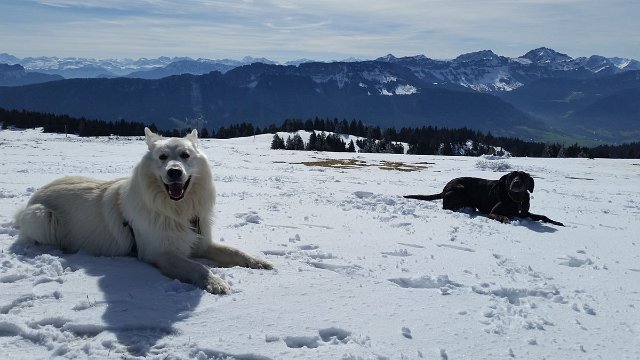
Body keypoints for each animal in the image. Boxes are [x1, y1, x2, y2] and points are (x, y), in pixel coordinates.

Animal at [15, 128, 270, 294]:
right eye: (163, 157)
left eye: (185, 155)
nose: (174, 172)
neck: (176, 210)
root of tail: (32, 199)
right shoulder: (159, 253)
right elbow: (197, 266)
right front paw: (216, 282)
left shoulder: (200, 242)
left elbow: (235, 252)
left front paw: (259, 263)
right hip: (43, 217)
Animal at [404, 171, 564, 226]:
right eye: (511, 176)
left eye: (523, 177)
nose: (516, 183)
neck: (515, 199)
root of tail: (444, 189)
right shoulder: (493, 212)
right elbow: (500, 215)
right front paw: (506, 219)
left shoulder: (525, 213)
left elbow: (543, 216)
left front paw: (557, 222)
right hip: (460, 188)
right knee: (446, 206)